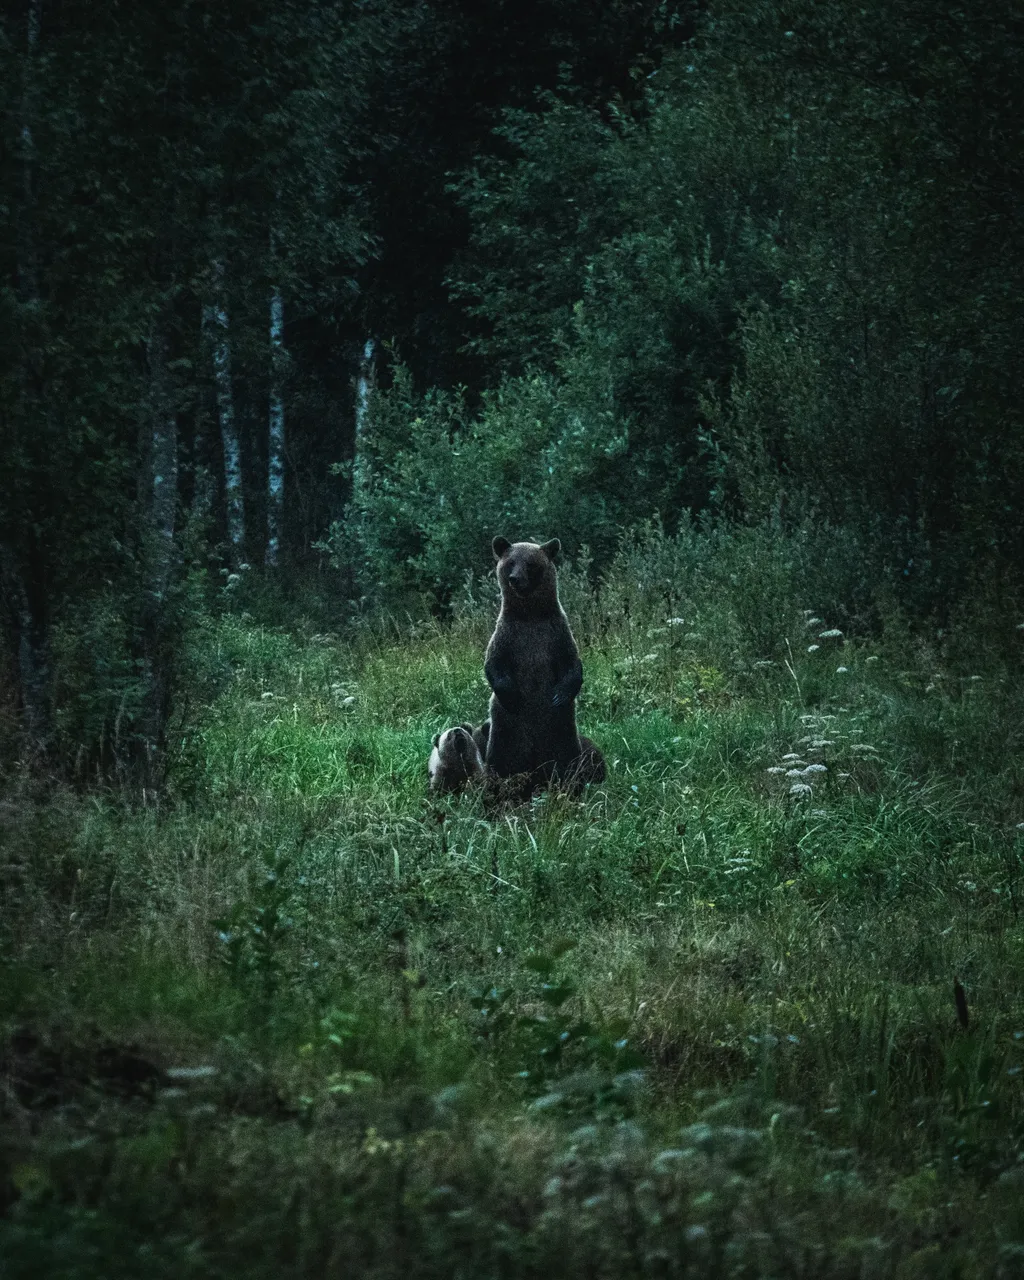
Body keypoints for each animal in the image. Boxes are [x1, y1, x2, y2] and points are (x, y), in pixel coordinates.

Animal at [482, 536, 590, 797]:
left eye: (531, 564)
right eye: (510, 562)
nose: (515, 579)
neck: (530, 616)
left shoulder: (556, 635)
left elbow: (572, 664)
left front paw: (559, 696)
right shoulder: (508, 637)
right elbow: (494, 665)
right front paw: (513, 697)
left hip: (561, 732)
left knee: (566, 760)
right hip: (506, 733)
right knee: (502, 763)